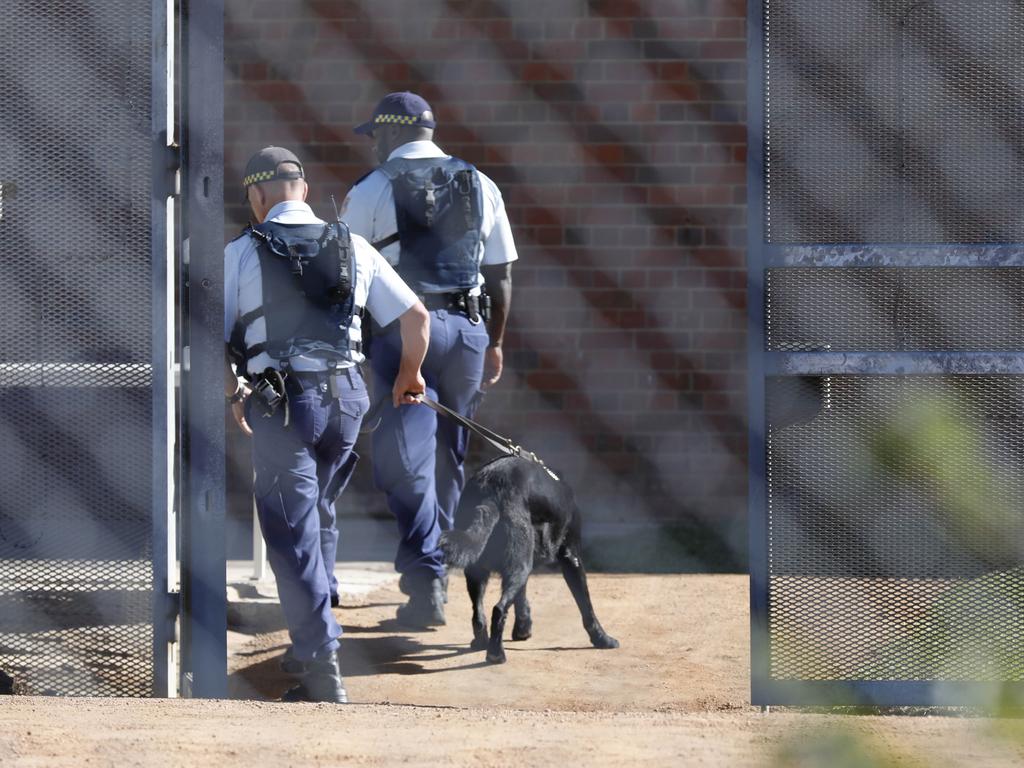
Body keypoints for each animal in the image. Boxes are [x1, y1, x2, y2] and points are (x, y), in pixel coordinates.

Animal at [438, 454, 614, 663]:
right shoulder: (571, 558)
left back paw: (481, 642)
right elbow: (587, 607)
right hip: (520, 565)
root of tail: (491, 493)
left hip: (480, 571)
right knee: (498, 609)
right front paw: (602, 638)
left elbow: (521, 597)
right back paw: (496, 654)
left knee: (478, 613)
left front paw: (523, 628)